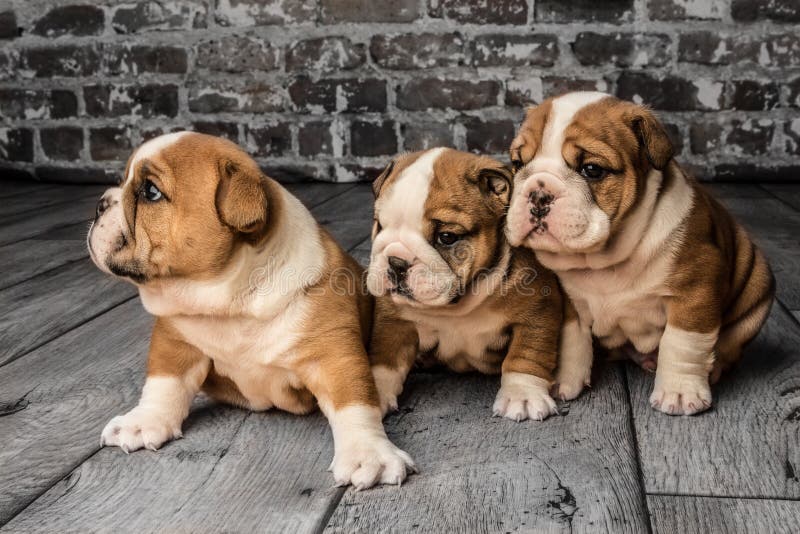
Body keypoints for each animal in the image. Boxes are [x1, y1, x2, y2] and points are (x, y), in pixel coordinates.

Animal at [86, 133, 412, 490]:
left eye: (150, 192)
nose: (100, 202)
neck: (231, 298)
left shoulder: (333, 356)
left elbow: (354, 402)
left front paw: (369, 454)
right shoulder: (175, 341)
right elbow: (164, 383)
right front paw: (143, 421)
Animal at [368, 148, 564, 422]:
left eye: (447, 237)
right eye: (379, 225)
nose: (396, 262)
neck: (458, 306)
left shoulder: (537, 312)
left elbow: (526, 355)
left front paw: (522, 394)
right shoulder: (394, 322)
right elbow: (386, 359)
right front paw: (371, 393)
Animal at [506, 93, 776, 418]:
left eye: (592, 170)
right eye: (517, 163)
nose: (538, 193)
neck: (605, 258)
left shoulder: (696, 291)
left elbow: (683, 343)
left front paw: (680, 392)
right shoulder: (568, 301)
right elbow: (573, 339)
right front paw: (563, 380)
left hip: (758, 287)